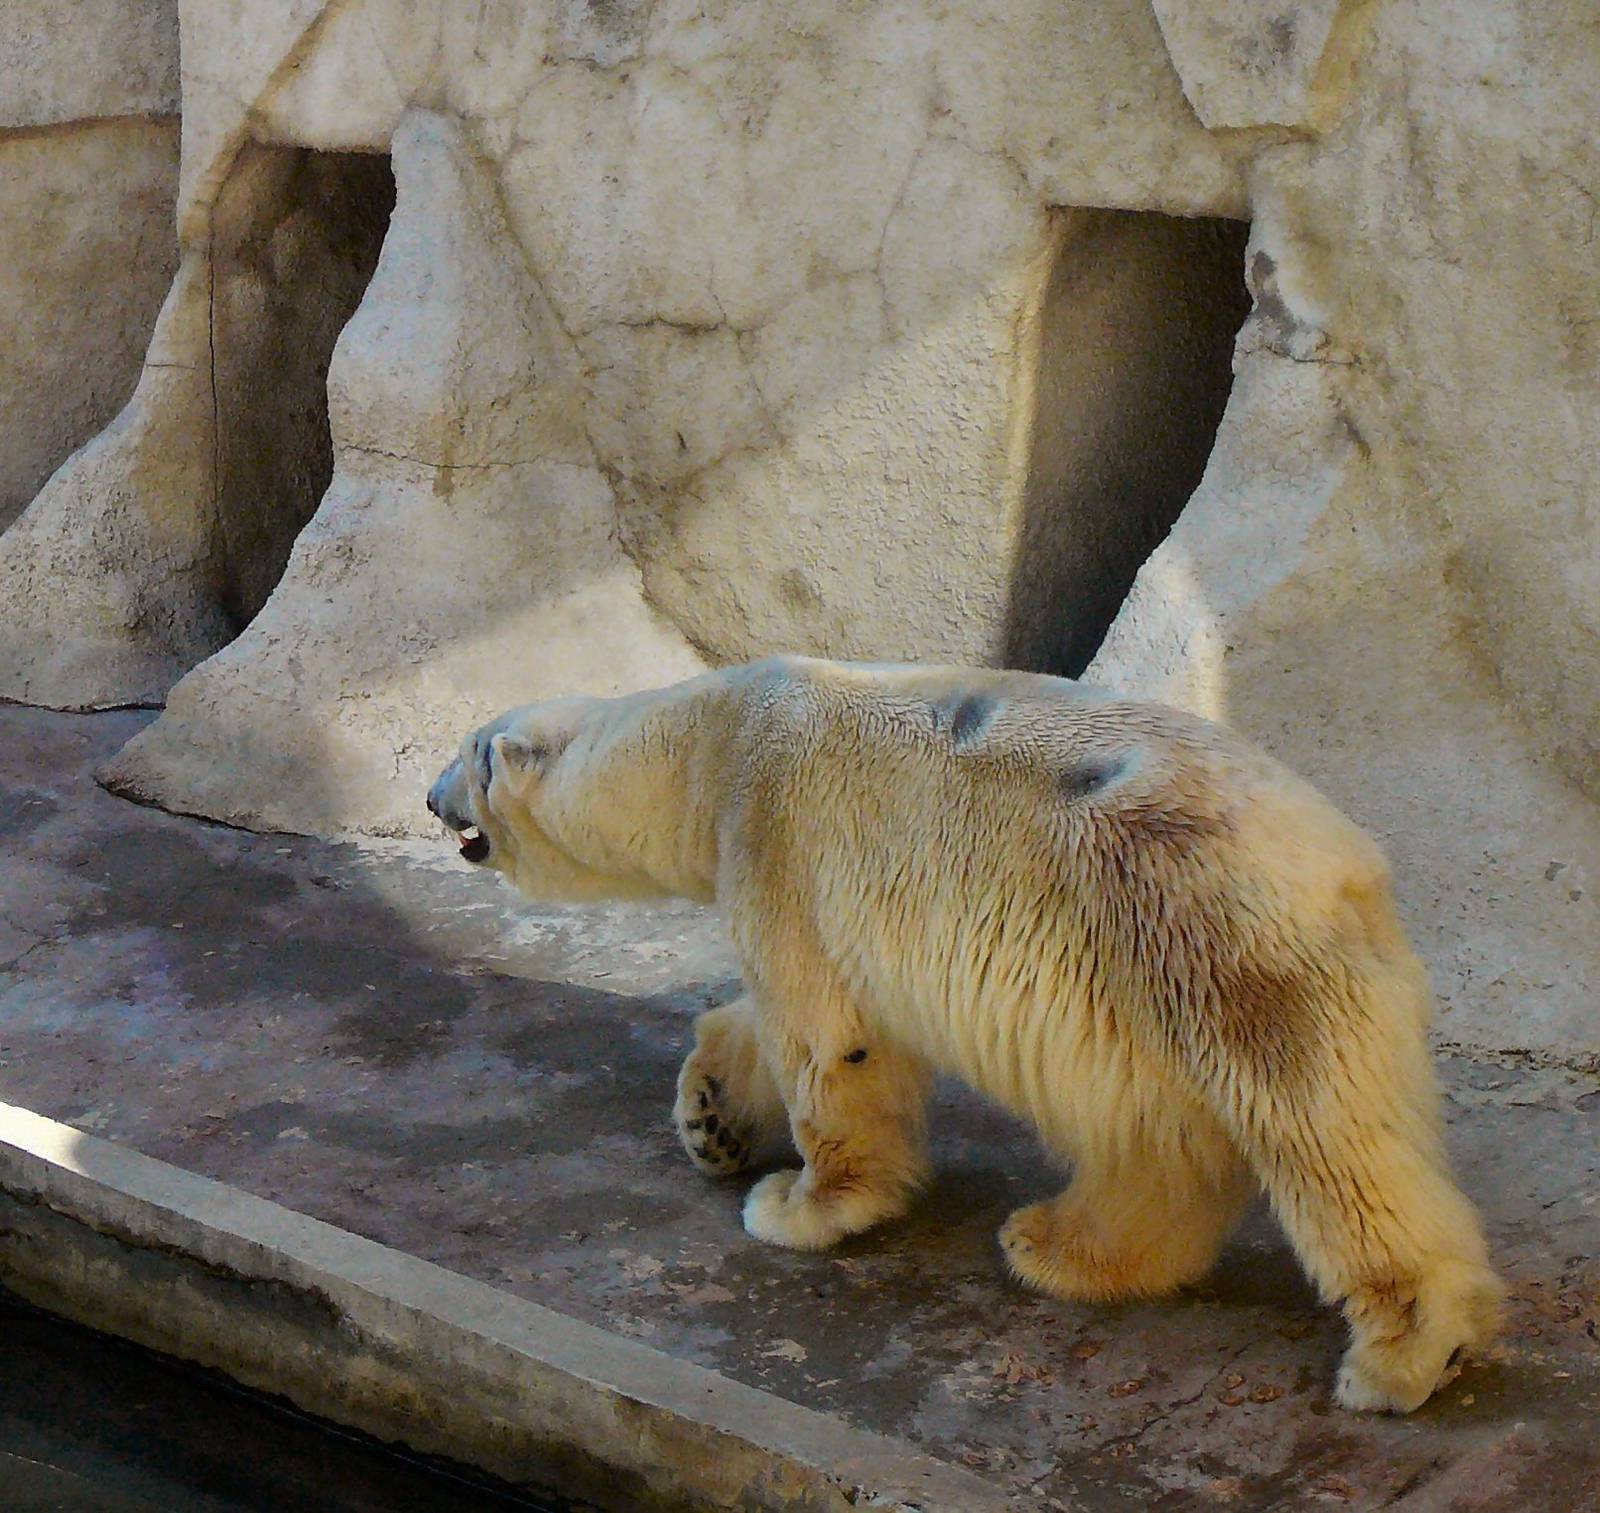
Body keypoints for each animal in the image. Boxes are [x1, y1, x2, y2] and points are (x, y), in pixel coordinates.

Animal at [426, 656, 1502, 1413]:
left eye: (467, 752)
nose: (429, 797)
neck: (714, 738)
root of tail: (1351, 867)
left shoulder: (776, 837)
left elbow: (825, 1038)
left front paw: (799, 1204)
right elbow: (769, 1017)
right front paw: (711, 1120)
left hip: (1203, 929)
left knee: (1323, 1136)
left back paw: (1409, 1352)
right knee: (1162, 1140)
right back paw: (1062, 1244)